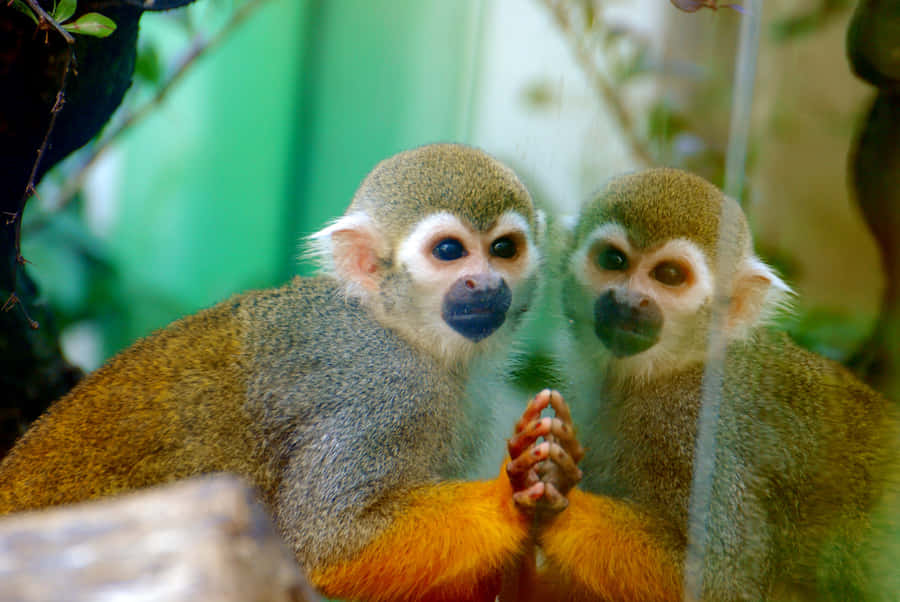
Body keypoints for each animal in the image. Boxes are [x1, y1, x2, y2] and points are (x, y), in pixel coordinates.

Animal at [0, 143, 573, 602]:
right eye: (450, 251)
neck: (410, 337)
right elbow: (330, 539)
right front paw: (508, 502)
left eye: (503, 249)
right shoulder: (380, 393)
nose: (485, 284)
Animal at [526, 167, 900, 601]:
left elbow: (720, 581)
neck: (666, 372)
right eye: (613, 260)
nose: (629, 301)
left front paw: (556, 497)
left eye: (669, 275)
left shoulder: (695, 430)